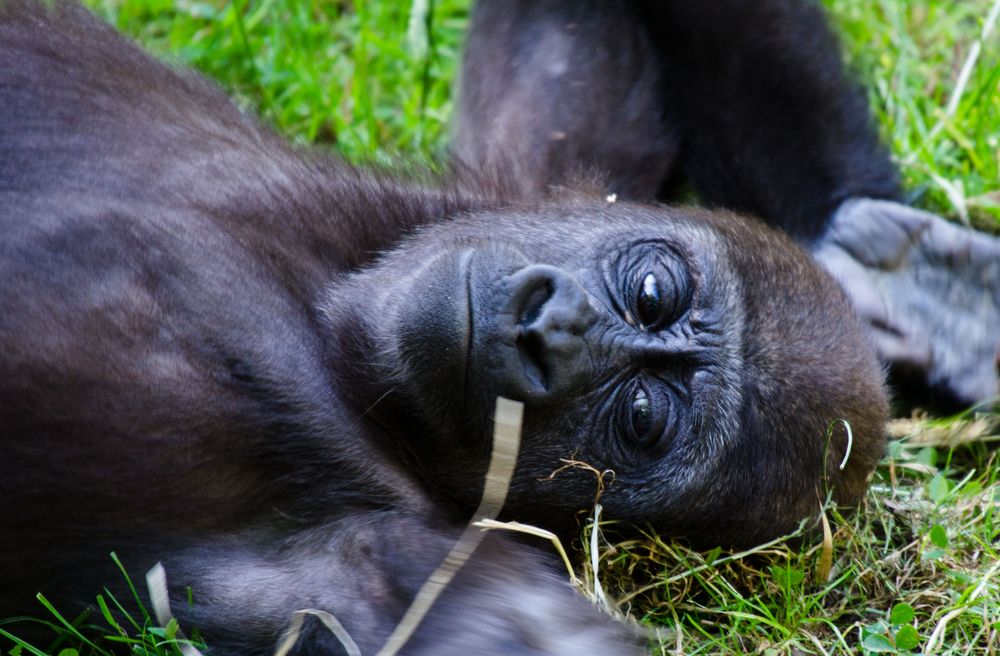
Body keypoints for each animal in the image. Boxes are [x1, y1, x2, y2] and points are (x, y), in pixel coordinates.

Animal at [0, 0, 996, 652]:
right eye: (653, 291)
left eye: (641, 418)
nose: (547, 330)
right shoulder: (536, 177)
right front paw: (872, 253)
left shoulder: (358, 545)